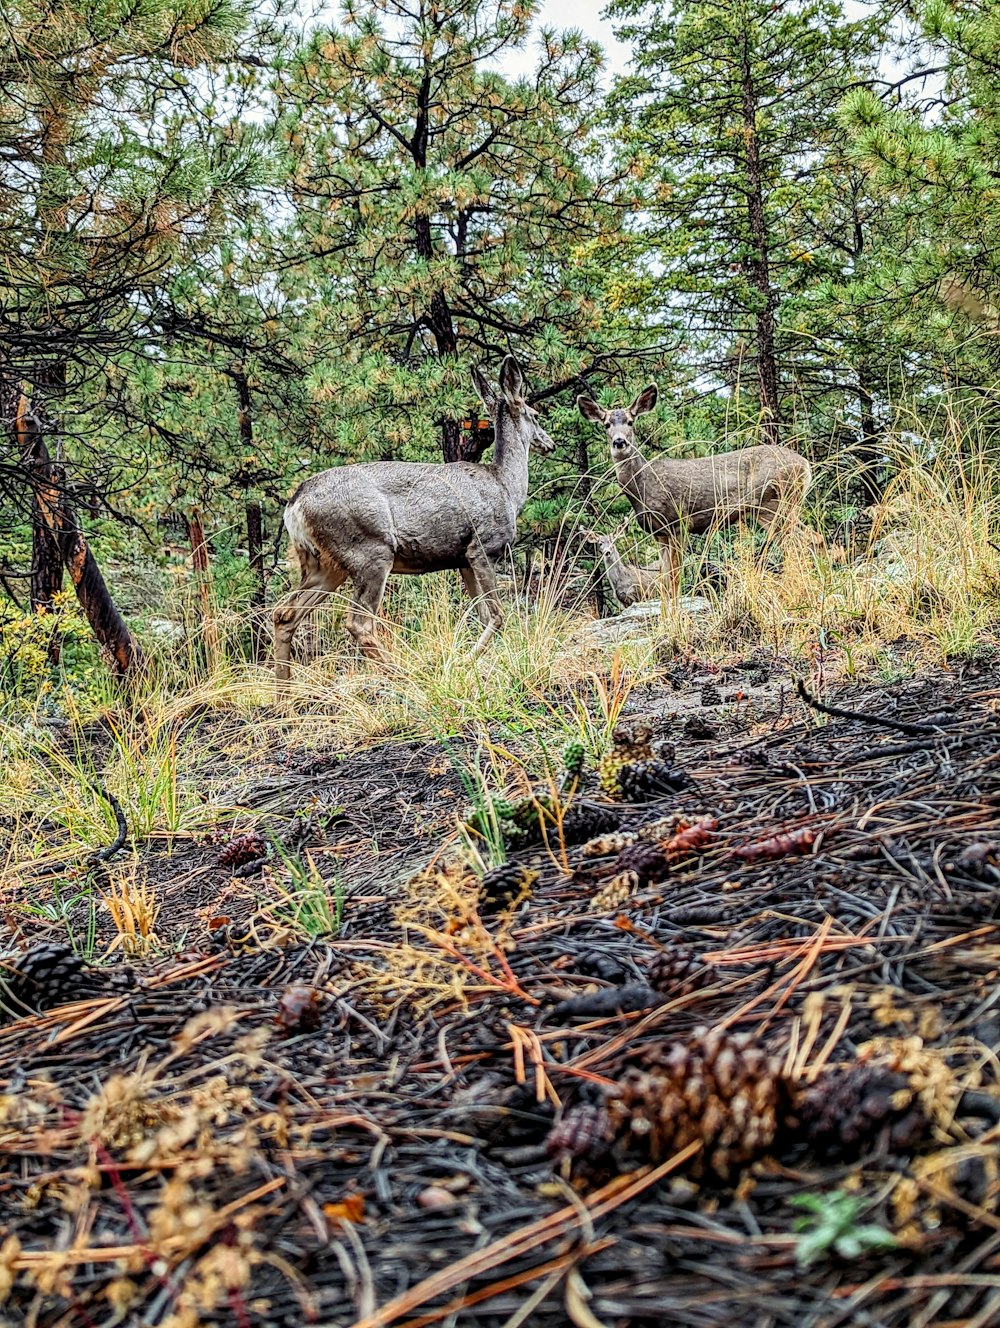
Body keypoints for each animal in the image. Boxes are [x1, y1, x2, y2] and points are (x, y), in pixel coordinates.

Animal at [270, 355, 555, 685]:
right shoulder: (483, 546)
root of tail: (294, 506)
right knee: (358, 623)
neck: (506, 486)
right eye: (535, 415)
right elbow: (497, 616)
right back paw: (404, 675)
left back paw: (283, 691)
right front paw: (464, 661)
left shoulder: (463, 559)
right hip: (370, 550)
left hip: (324, 564)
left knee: (285, 613)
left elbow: (483, 614)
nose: (549, 443)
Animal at [573, 382, 812, 594]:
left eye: (631, 421)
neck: (643, 487)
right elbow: (665, 578)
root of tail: (805, 465)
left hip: (774, 502)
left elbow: (675, 577)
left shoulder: (678, 522)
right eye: (606, 424)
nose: (619, 442)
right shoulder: (659, 533)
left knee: (803, 540)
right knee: (809, 538)